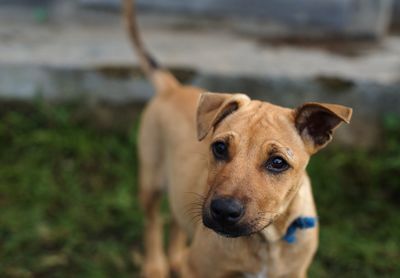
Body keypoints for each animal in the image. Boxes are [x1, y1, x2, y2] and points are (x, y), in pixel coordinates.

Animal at [122, 1, 354, 276]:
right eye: (220, 148)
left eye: (278, 162)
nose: (223, 211)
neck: (267, 240)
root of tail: (173, 88)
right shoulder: (199, 269)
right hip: (150, 178)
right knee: (152, 222)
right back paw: (155, 266)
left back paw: (175, 259)